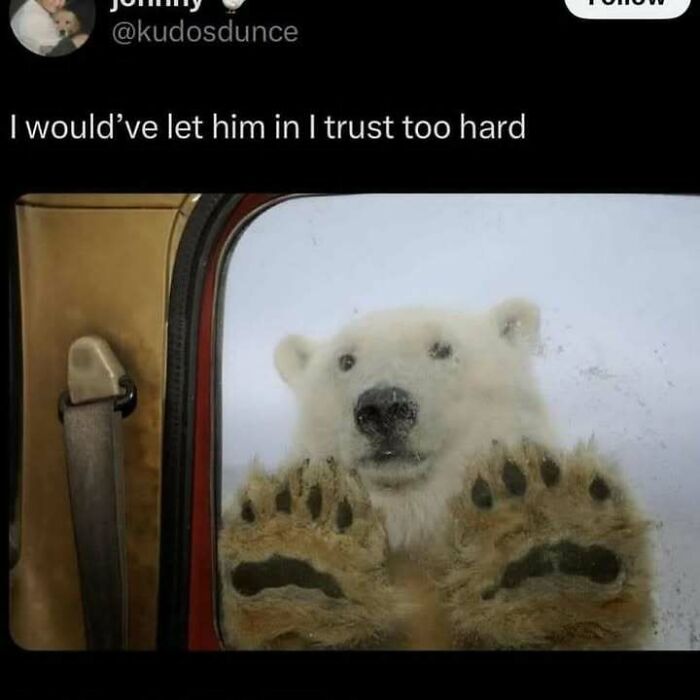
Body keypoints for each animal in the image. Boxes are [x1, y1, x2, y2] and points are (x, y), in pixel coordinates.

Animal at [219, 300, 652, 652]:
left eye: (442, 348)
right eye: (345, 360)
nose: (383, 406)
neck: (414, 514)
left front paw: (549, 528)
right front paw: (298, 542)